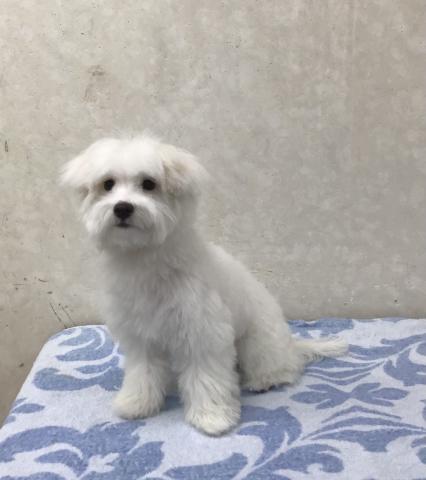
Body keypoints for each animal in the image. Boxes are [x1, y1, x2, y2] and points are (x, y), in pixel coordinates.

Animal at [61, 133, 347, 435]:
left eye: (149, 184)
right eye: (108, 184)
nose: (123, 207)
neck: (145, 260)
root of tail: (291, 344)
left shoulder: (203, 333)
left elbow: (206, 377)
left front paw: (212, 417)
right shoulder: (141, 338)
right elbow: (143, 373)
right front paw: (136, 403)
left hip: (258, 345)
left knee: (285, 368)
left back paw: (265, 380)